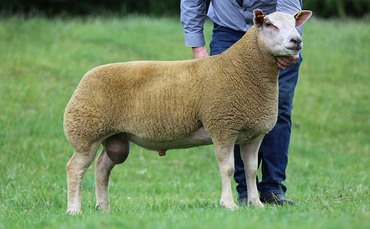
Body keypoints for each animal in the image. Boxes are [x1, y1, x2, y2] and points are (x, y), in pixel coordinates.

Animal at [64, 9, 312, 215]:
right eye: (270, 24)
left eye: (295, 24)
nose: (296, 41)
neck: (242, 69)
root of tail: (86, 77)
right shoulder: (222, 126)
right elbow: (228, 168)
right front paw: (228, 204)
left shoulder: (254, 133)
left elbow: (251, 170)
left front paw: (256, 204)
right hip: (86, 132)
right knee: (75, 168)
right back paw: (74, 210)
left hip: (115, 137)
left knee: (102, 168)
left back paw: (103, 208)